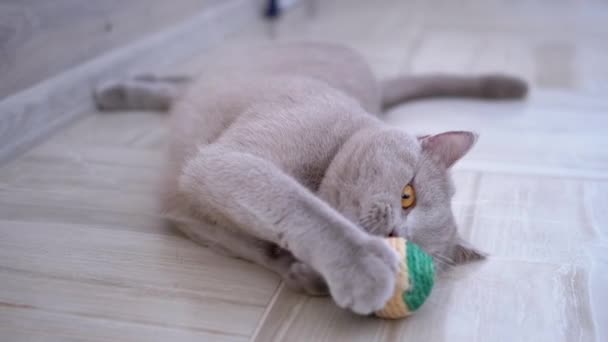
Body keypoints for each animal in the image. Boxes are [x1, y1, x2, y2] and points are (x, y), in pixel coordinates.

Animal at [95, 41, 528, 314]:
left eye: (420, 251)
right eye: (408, 195)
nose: (396, 236)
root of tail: (376, 86)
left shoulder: (202, 221)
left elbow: (263, 244)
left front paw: (306, 274)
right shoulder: (226, 162)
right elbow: (303, 209)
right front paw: (364, 267)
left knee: (180, 90)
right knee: (184, 82)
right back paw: (113, 90)